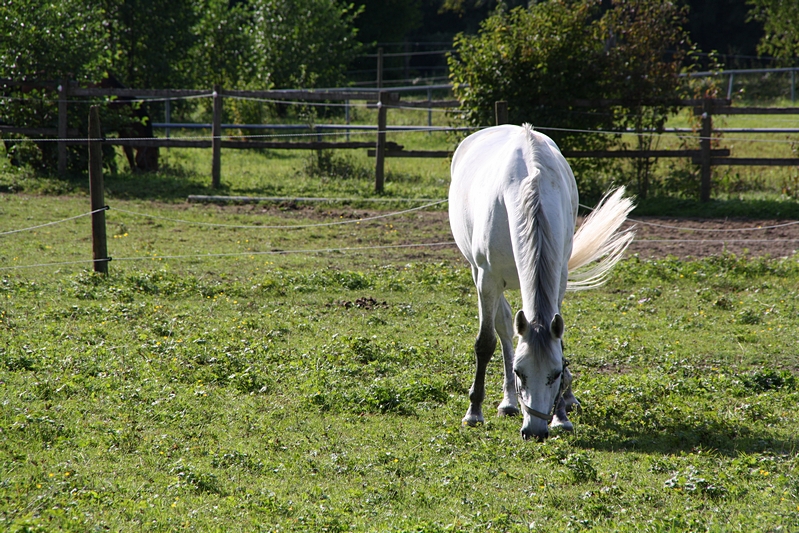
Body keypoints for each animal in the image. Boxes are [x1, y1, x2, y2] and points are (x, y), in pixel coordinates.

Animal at [454, 122, 636, 438]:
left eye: (554, 374)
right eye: (520, 372)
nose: (535, 430)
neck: (530, 189)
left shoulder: (558, 277)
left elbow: (559, 343)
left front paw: (561, 416)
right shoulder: (487, 279)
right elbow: (486, 342)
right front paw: (474, 412)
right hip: (479, 274)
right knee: (504, 327)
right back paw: (508, 403)